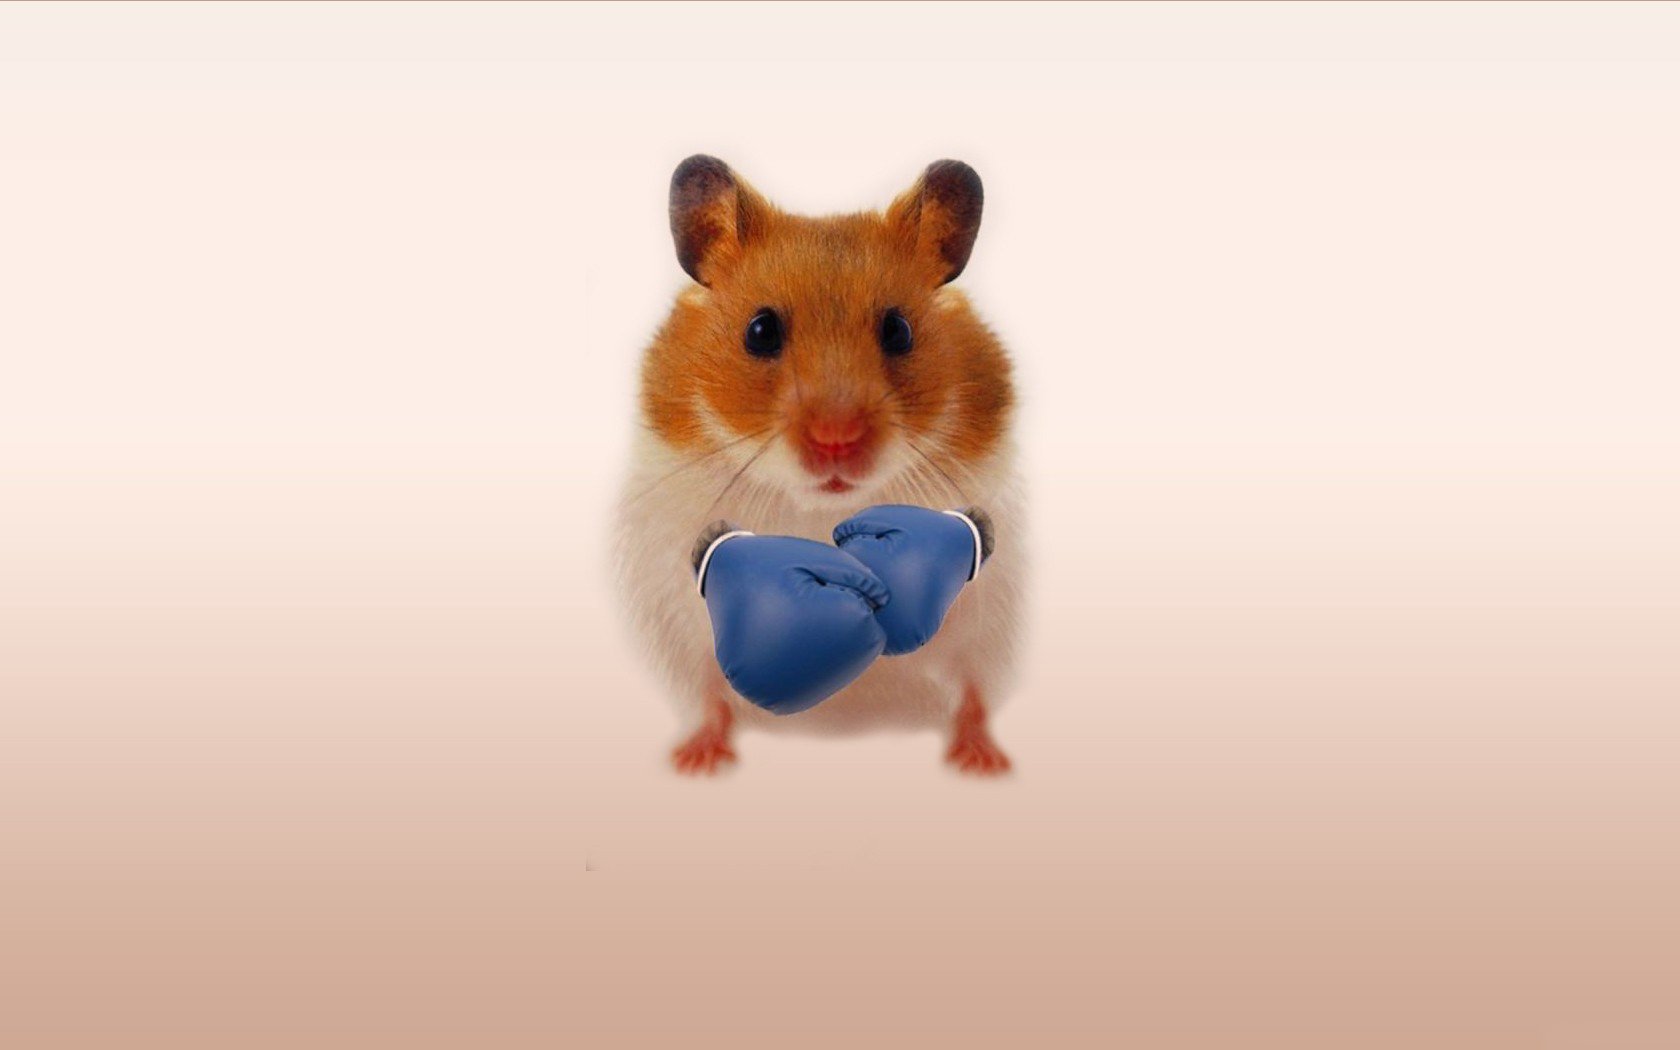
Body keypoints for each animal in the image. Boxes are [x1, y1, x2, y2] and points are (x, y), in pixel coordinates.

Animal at [613, 155, 1024, 775]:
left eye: (898, 330)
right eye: (760, 331)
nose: (837, 441)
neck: (821, 514)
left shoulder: (988, 622)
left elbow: (973, 688)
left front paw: (983, 763)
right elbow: (710, 692)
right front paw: (695, 762)